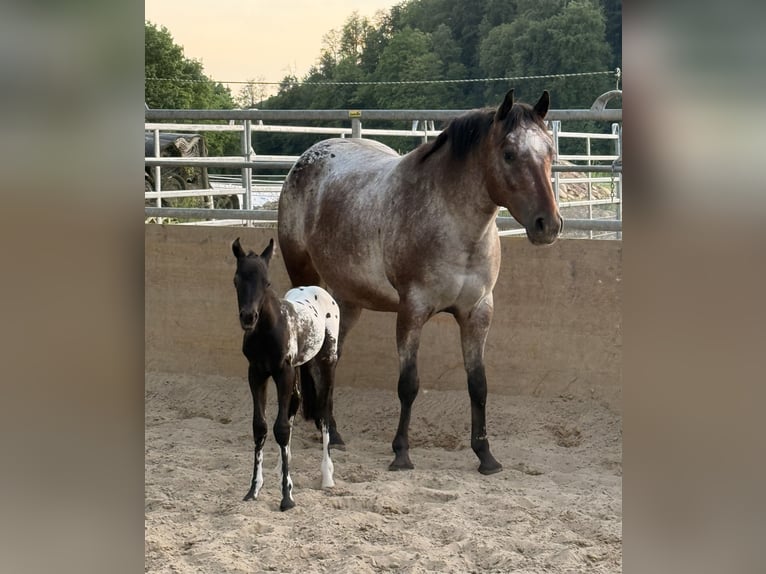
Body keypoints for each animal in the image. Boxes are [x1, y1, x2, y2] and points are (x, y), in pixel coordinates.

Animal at [231, 237, 340, 510]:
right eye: (237, 280)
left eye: (267, 282)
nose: (248, 317)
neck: (268, 330)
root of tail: (318, 289)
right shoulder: (256, 374)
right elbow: (260, 427)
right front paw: (253, 489)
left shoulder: (283, 372)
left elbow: (280, 427)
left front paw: (287, 497)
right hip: (300, 367)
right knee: (294, 406)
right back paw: (283, 465)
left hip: (327, 360)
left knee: (324, 410)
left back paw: (327, 476)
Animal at [277, 89, 562, 475]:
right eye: (509, 153)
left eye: (549, 151)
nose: (549, 224)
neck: (456, 230)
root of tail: (305, 159)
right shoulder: (412, 311)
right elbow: (408, 384)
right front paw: (401, 452)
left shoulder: (478, 313)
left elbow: (479, 384)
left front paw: (486, 456)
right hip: (304, 277)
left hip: (346, 301)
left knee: (331, 358)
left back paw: (332, 432)